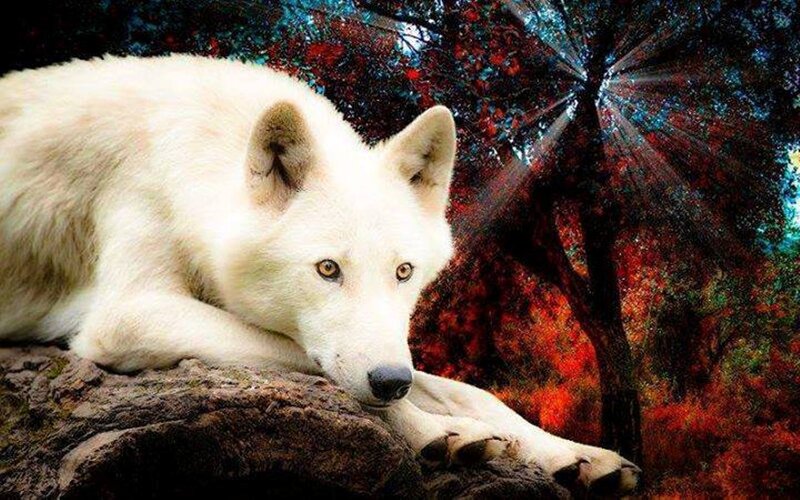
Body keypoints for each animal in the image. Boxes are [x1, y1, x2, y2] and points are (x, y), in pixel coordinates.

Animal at [0, 55, 639, 494]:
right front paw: (436, 432)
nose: (391, 381)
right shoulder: (127, 315)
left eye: (404, 271)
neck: (194, 164)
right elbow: (314, 364)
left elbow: (468, 390)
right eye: (327, 269)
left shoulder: (394, 350)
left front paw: (574, 455)